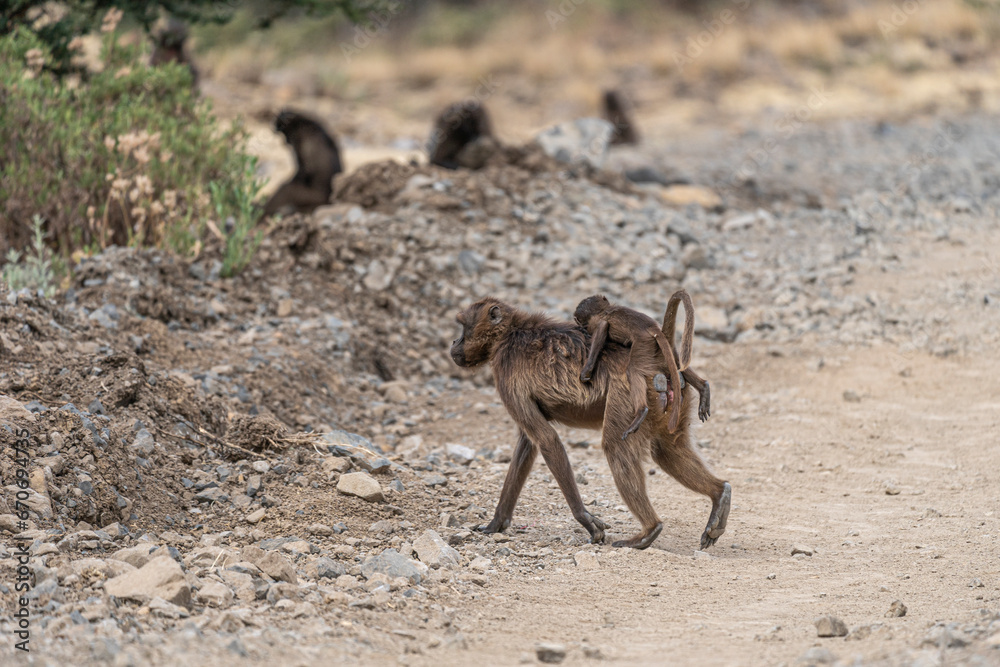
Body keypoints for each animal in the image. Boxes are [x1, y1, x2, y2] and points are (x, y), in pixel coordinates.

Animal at [574, 295, 684, 436]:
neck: (604, 310)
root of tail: (652, 327)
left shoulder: (596, 322)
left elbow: (602, 327)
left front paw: (586, 371)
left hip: (642, 342)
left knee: (633, 370)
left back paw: (641, 412)